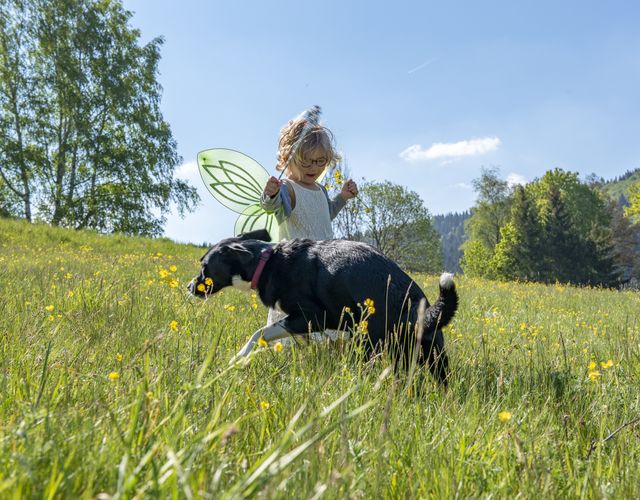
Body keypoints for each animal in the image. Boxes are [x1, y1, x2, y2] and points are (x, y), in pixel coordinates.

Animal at [188, 229, 458, 384]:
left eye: (204, 267)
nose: (190, 287)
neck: (266, 261)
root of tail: (419, 310)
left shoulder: (311, 317)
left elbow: (259, 333)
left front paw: (239, 356)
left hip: (369, 342)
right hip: (433, 355)